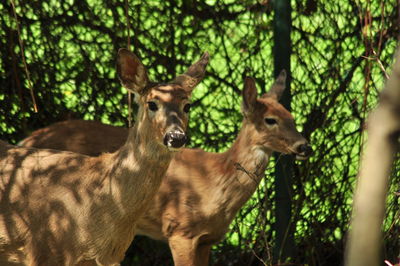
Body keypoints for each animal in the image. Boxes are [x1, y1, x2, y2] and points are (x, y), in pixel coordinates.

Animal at [20, 70, 310, 266]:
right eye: (270, 120)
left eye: (292, 117)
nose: (304, 146)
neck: (216, 182)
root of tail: (27, 139)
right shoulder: (180, 229)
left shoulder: (207, 239)